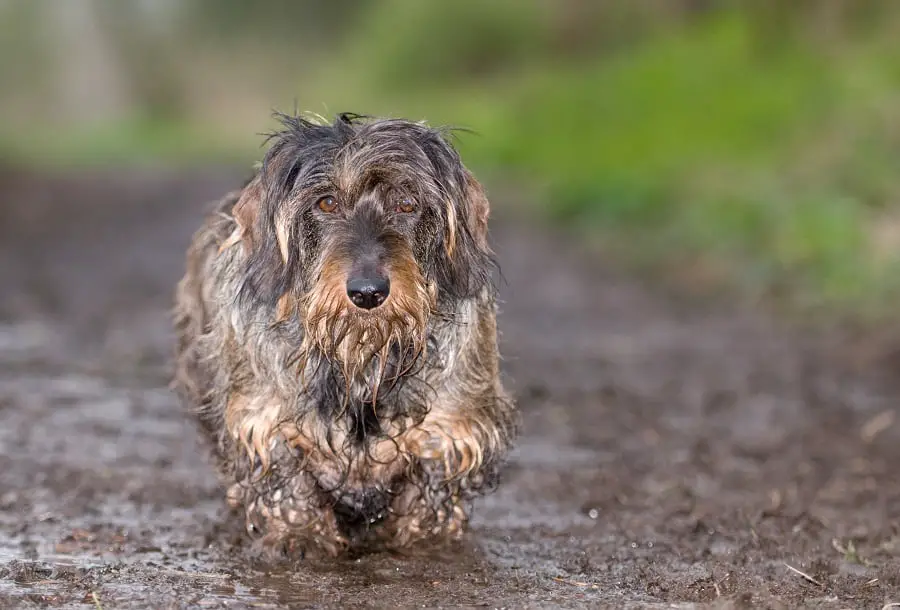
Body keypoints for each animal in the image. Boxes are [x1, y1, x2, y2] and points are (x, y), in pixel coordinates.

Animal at [172, 110, 516, 556]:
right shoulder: (263, 419)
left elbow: (432, 487)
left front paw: (425, 538)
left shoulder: (452, 426)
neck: (360, 355)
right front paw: (300, 536)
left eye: (408, 203)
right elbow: (286, 481)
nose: (368, 292)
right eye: (327, 202)